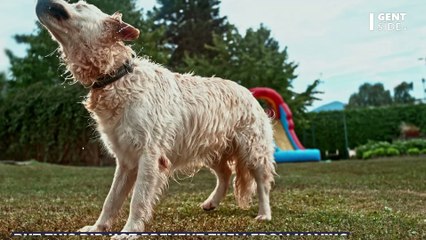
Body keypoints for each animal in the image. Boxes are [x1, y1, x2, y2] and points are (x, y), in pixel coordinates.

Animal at [35, 0, 276, 236]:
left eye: (80, 5)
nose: (40, 2)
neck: (116, 76)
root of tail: (248, 92)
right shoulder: (125, 160)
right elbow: (111, 200)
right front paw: (97, 227)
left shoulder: (149, 155)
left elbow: (138, 199)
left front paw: (129, 230)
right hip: (210, 148)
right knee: (225, 174)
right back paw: (211, 202)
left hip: (252, 151)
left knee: (262, 184)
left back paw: (264, 214)